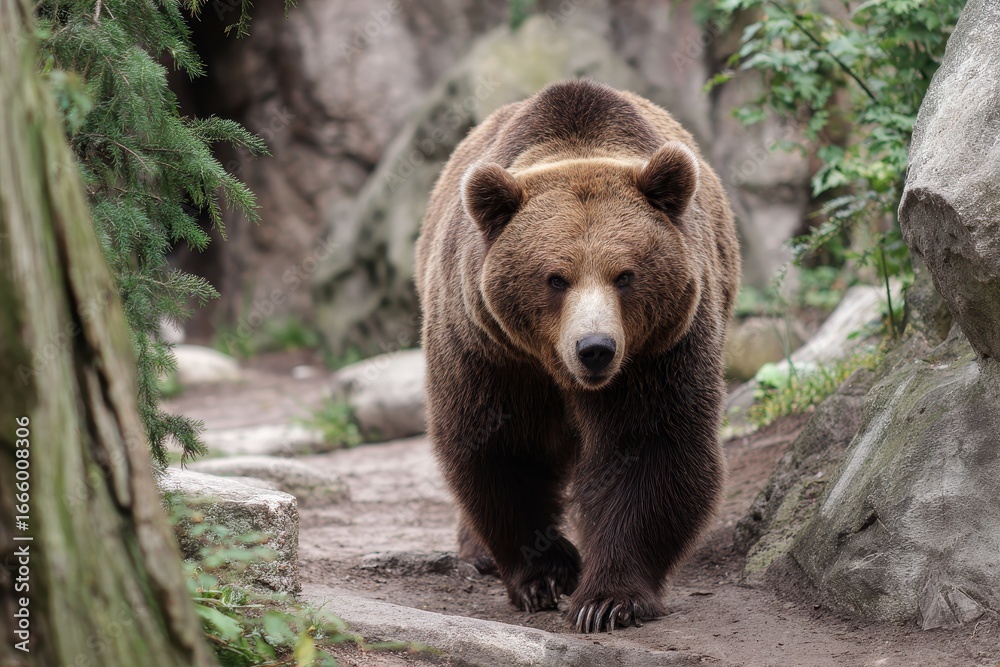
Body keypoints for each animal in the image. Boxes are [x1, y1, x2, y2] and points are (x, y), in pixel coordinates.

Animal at [415, 79, 740, 633]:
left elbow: (649, 447)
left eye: (625, 275)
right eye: (555, 278)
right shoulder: (490, 351)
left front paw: (606, 599)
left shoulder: (659, 350)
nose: (594, 349)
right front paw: (546, 575)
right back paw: (477, 552)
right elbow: (500, 446)